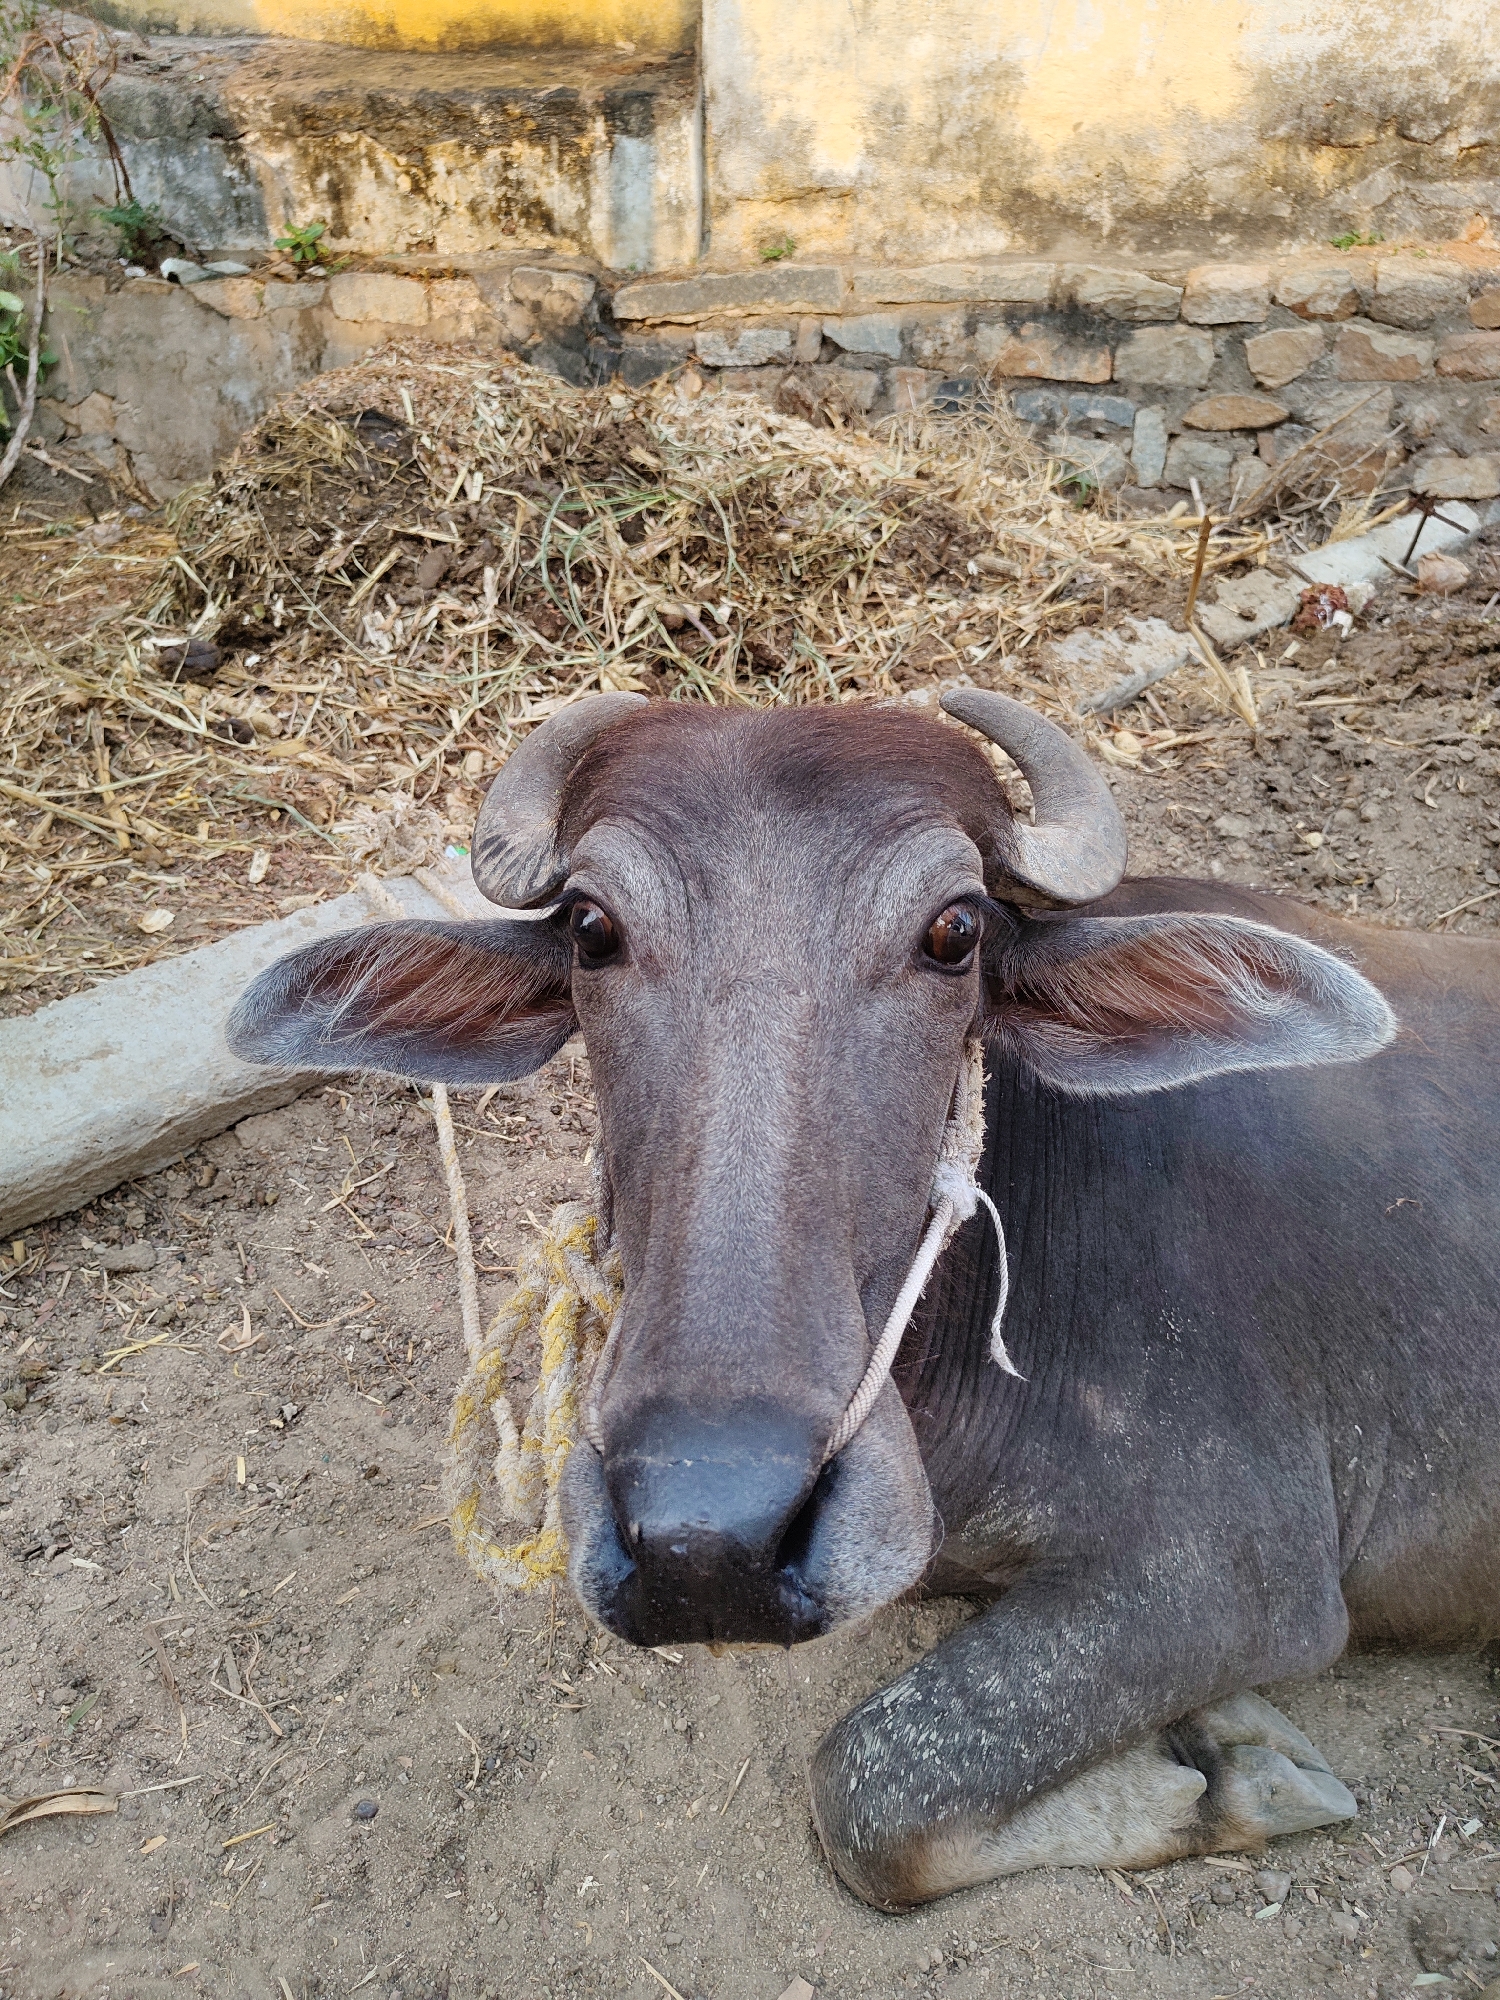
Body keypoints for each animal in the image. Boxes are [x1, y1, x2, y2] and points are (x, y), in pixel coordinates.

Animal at [229, 692, 1499, 1910]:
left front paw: (1231, 1776)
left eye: (956, 930)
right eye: (593, 928)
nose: (708, 1542)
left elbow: (867, 1783)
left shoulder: (1235, 1572)